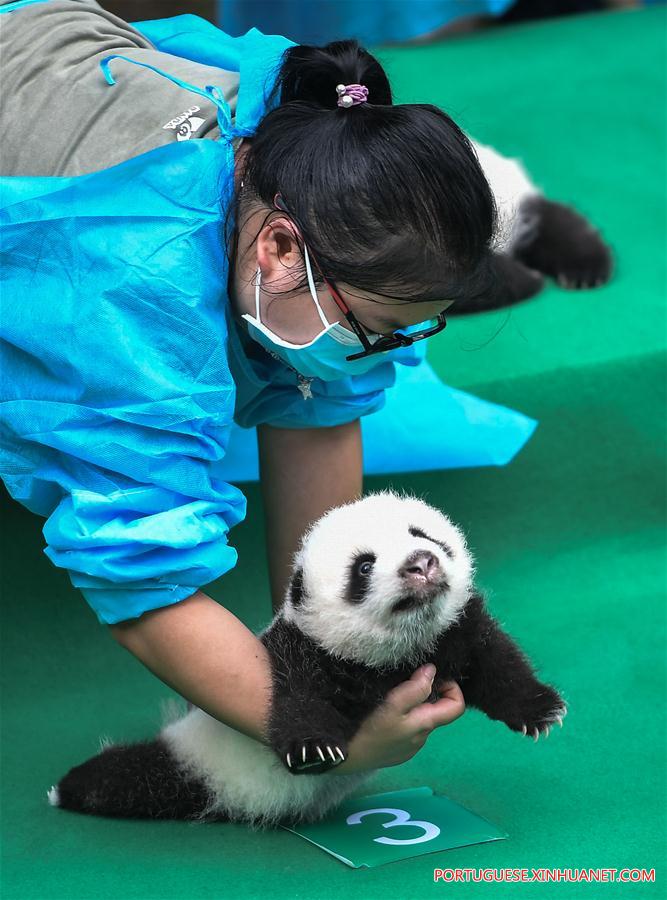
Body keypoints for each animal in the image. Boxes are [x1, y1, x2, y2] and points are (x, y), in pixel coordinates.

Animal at [48, 491, 567, 829]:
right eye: (364, 566)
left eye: (423, 535)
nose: (422, 562)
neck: (403, 649)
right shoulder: (309, 652)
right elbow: (298, 697)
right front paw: (314, 746)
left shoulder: (455, 629)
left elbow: (495, 662)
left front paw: (540, 708)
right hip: (203, 764)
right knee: (137, 778)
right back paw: (69, 787)